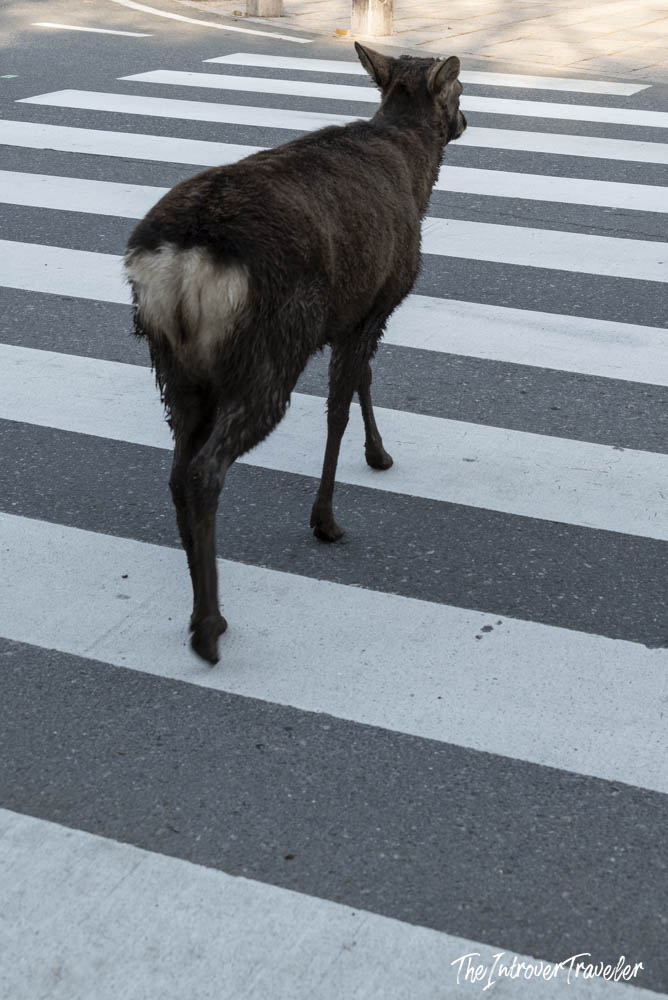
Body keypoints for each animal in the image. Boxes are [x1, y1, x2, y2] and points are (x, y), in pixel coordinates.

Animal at [124, 43, 467, 665]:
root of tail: (183, 260)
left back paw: (199, 606)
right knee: (206, 469)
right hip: (271, 350)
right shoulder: (378, 298)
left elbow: (363, 381)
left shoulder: (356, 310)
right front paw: (327, 518)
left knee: (178, 470)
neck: (416, 175)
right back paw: (210, 626)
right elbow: (341, 404)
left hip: (174, 365)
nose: (467, 120)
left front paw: (378, 453)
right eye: (461, 89)